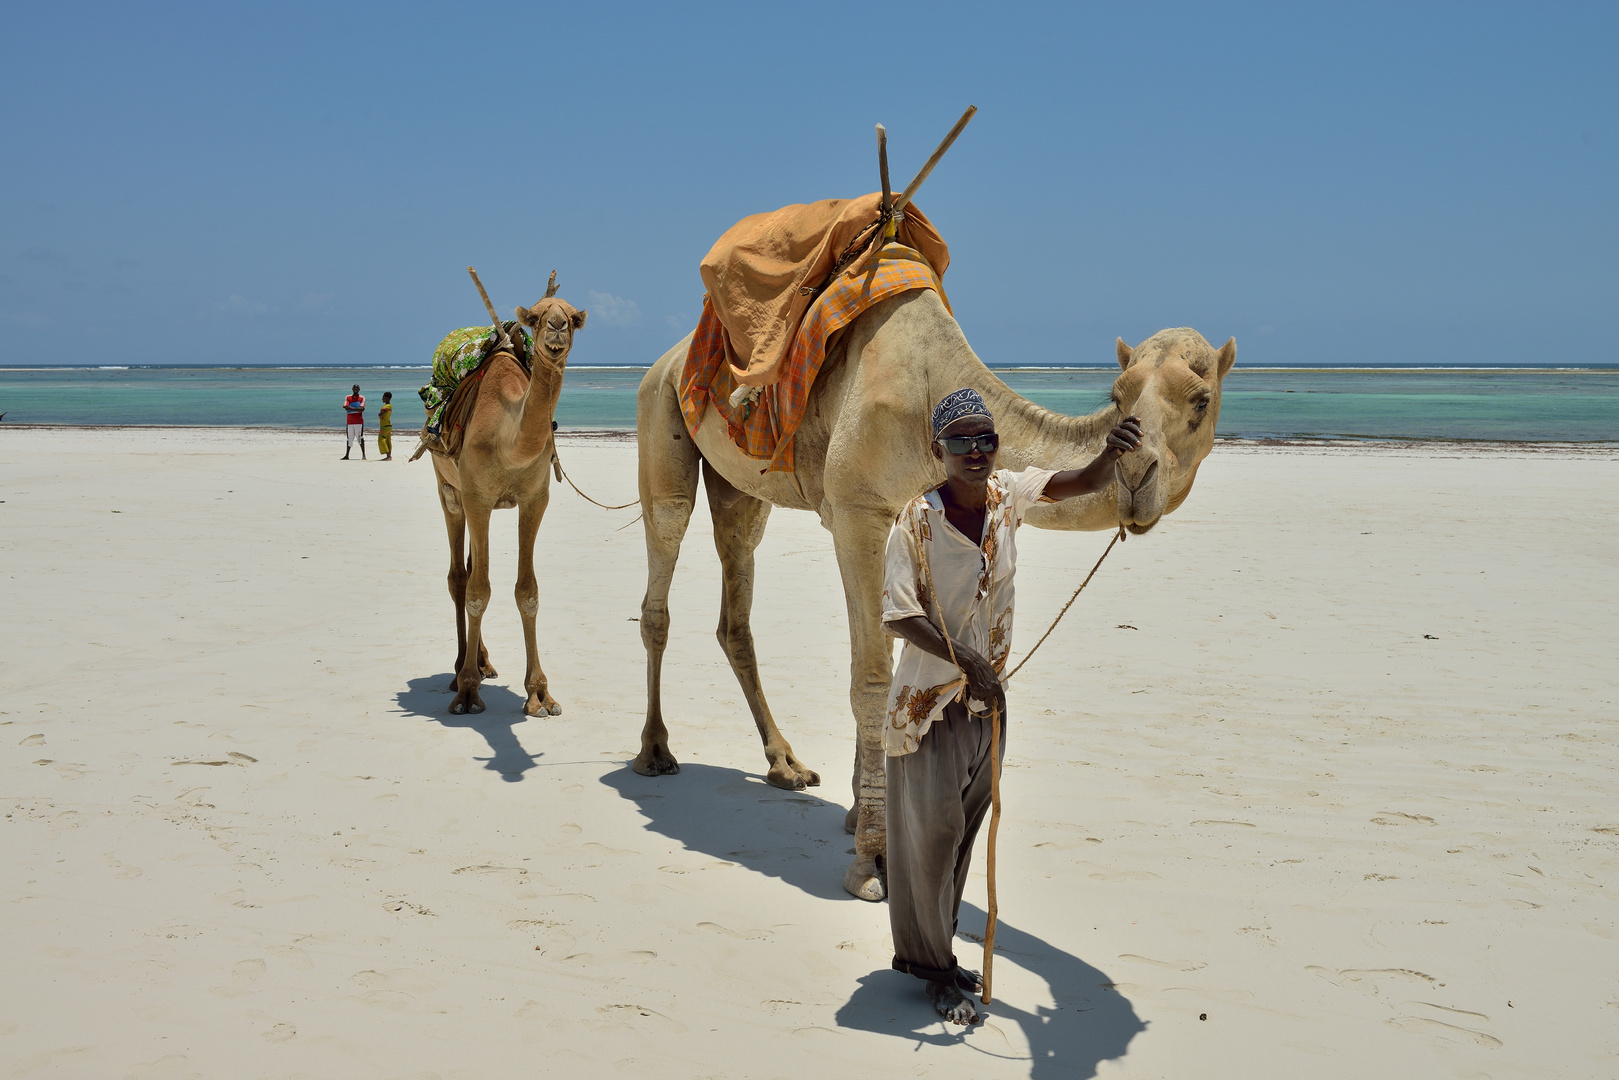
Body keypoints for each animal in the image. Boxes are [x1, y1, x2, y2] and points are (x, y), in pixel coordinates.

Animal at [430, 283, 589, 718]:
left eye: (574, 318)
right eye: (535, 317)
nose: (556, 328)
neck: (508, 440)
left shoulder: (536, 499)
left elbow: (527, 592)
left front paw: (539, 694)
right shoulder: (477, 496)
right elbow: (478, 592)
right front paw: (468, 693)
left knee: (470, 570)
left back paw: (483, 662)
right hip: (449, 490)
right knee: (459, 576)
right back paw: (460, 669)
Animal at [634, 289, 1236, 906]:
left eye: (1201, 399)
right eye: (1117, 396)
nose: (1136, 475)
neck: (929, 390)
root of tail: (665, 359)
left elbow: (893, 655)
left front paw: (861, 814)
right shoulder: (856, 511)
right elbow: (872, 680)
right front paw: (872, 861)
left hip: (742, 485)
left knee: (737, 580)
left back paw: (786, 765)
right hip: (658, 411)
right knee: (665, 545)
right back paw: (655, 752)